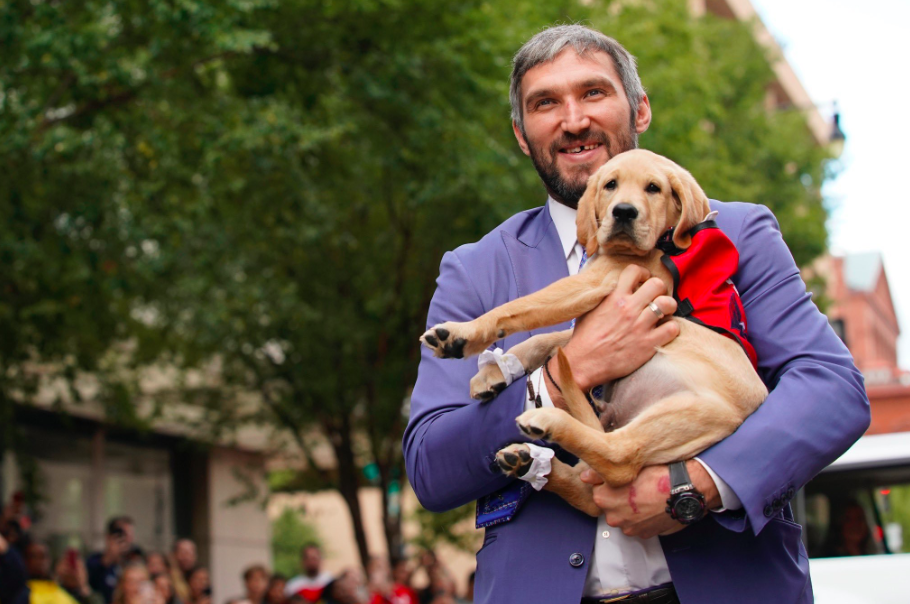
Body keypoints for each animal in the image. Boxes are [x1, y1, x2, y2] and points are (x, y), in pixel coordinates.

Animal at [420, 149, 768, 516]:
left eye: (654, 188)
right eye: (610, 184)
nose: (624, 212)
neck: (662, 243)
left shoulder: (593, 283)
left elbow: (520, 307)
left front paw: (460, 333)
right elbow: (547, 338)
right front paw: (496, 370)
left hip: (691, 411)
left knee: (619, 458)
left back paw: (549, 423)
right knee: (588, 491)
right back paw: (528, 462)